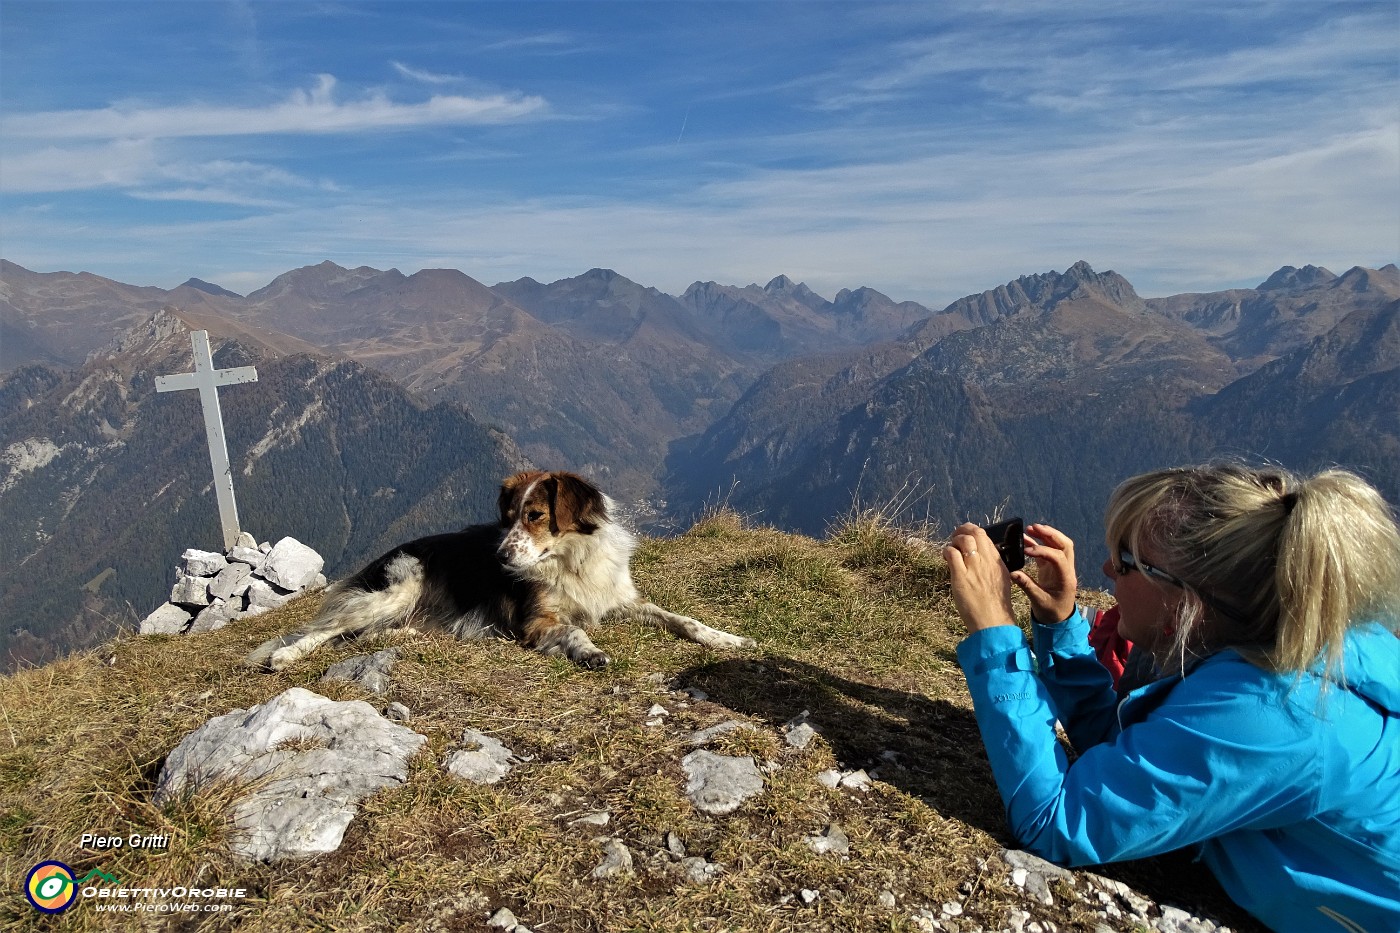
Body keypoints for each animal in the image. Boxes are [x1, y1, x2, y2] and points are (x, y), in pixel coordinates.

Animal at [252, 473, 756, 669]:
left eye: (534, 515)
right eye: (508, 516)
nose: (500, 557)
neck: (569, 560)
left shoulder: (619, 600)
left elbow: (684, 619)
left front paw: (729, 639)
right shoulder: (537, 620)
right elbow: (573, 630)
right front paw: (590, 651)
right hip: (396, 589)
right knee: (320, 630)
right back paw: (285, 657)